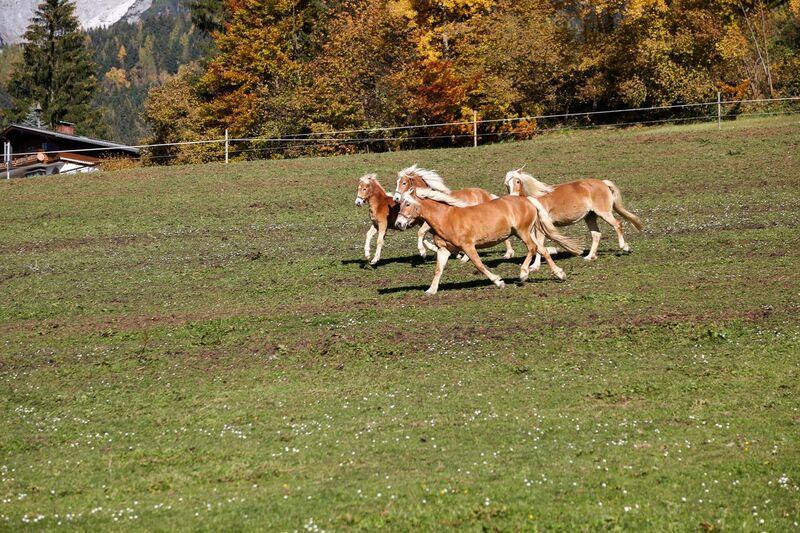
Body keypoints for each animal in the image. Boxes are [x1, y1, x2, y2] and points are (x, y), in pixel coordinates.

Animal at [394, 187, 580, 296]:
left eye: (407, 203)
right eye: (400, 204)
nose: (399, 224)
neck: (447, 218)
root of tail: (526, 199)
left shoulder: (468, 246)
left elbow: (480, 265)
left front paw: (499, 282)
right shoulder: (444, 249)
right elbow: (438, 269)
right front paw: (431, 290)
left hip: (523, 232)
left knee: (533, 248)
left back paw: (523, 274)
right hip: (524, 232)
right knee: (543, 249)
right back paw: (559, 274)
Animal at [506, 169, 644, 268]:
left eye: (517, 181)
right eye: (507, 184)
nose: (513, 197)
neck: (537, 198)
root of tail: (603, 183)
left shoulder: (541, 228)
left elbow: (540, 244)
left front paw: (535, 266)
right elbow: (538, 245)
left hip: (603, 213)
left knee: (617, 224)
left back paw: (624, 247)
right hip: (590, 217)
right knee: (596, 234)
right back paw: (589, 257)